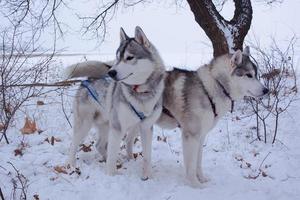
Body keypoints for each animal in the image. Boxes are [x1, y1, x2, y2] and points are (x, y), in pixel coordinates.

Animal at [66, 25, 165, 179]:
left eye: (129, 57)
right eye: (117, 58)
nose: (111, 73)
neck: (140, 93)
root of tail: (88, 79)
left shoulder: (146, 127)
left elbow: (147, 156)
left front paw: (147, 176)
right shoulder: (117, 128)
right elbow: (112, 155)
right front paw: (110, 175)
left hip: (115, 124)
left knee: (101, 145)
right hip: (86, 124)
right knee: (73, 145)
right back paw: (71, 165)